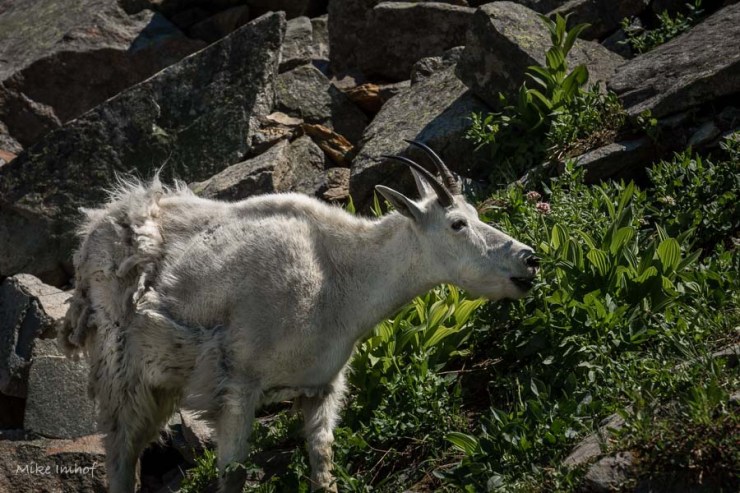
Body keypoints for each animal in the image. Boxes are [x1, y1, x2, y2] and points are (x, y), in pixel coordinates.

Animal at [59, 141, 538, 493]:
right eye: (458, 223)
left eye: (473, 214)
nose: (529, 260)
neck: (339, 277)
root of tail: (93, 231)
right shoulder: (238, 384)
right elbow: (233, 475)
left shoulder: (320, 386)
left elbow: (322, 463)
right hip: (121, 374)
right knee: (120, 454)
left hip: (159, 384)